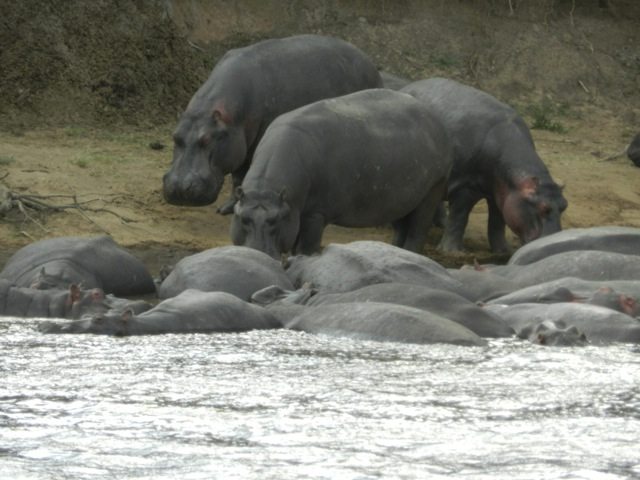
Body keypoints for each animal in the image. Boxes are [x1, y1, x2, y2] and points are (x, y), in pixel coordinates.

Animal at [162, 34, 383, 213]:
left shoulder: (246, 144)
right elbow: (237, 177)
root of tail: (371, 65)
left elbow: (239, 177)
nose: (179, 189)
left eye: (207, 140)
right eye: (175, 136)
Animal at [231, 89, 452, 257]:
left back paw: (412, 252)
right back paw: (396, 251)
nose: (256, 254)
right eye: (242, 218)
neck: (267, 190)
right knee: (402, 228)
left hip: (432, 190)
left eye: (275, 220)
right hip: (401, 199)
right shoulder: (296, 213)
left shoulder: (315, 214)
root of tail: (434, 118)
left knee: (418, 230)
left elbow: (306, 248)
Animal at [401, 77, 567, 253]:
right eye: (543, 208)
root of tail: (410, 85)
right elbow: (460, 216)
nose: (553, 243)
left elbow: (497, 223)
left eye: (564, 206)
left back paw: (441, 225)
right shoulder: (466, 187)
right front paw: (451, 251)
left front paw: (503, 251)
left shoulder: (502, 192)